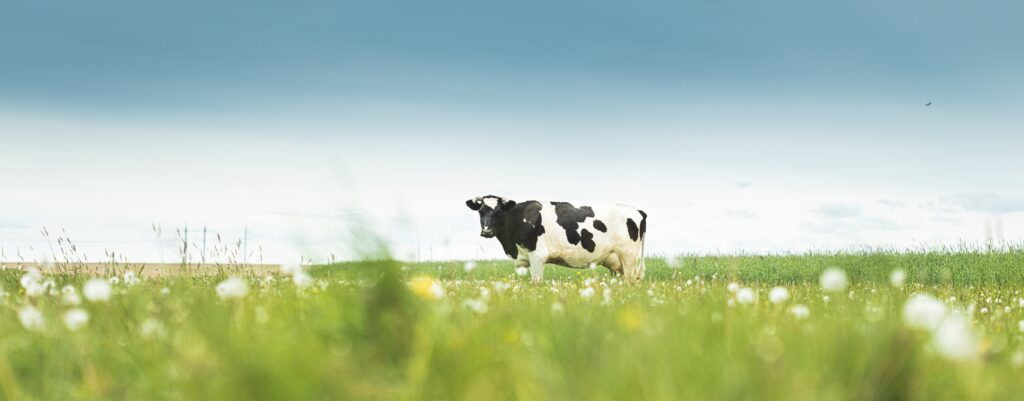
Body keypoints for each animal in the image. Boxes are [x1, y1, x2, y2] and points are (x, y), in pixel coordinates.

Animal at [465, 195, 647, 282]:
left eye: (498, 212)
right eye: (481, 211)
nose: (487, 231)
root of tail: (637, 210)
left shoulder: (538, 256)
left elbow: (536, 282)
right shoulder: (521, 261)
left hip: (629, 257)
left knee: (631, 281)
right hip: (615, 262)